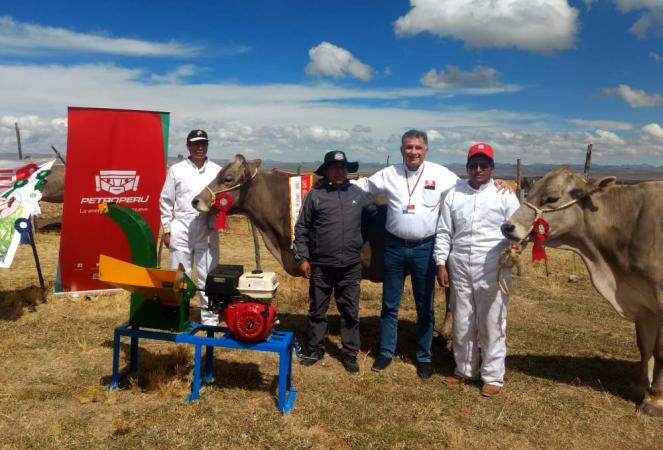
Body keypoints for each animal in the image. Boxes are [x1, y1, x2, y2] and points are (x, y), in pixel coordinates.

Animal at [500, 167, 663, 416]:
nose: (507, 227)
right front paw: (639, 387)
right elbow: (645, 346)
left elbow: (659, 351)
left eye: (551, 198)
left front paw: (655, 400)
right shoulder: (643, 302)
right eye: (531, 191)